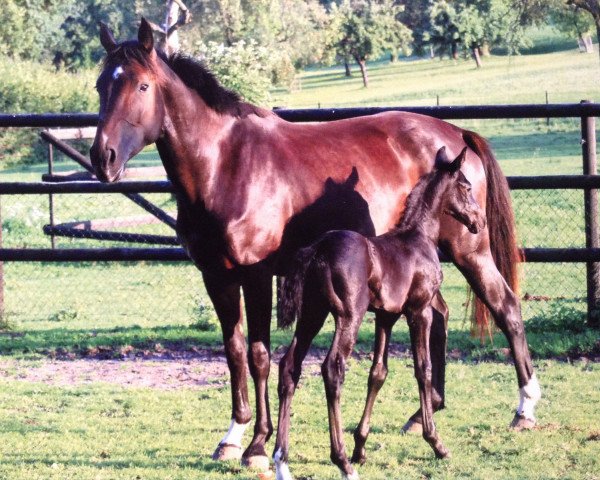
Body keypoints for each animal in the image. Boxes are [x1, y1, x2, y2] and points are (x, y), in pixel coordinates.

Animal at [274, 148, 486, 478]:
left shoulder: (386, 316)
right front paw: (435, 442)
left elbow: (378, 373)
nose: (479, 221)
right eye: (466, 186)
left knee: (289, 366)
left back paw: (281, 459)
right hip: (349, 316)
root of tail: (318, 249)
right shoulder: (419, 311)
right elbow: (422, 369)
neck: (418, 238)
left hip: (312, 315)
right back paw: (341, 460)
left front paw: (361, 446)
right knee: (332, 369)